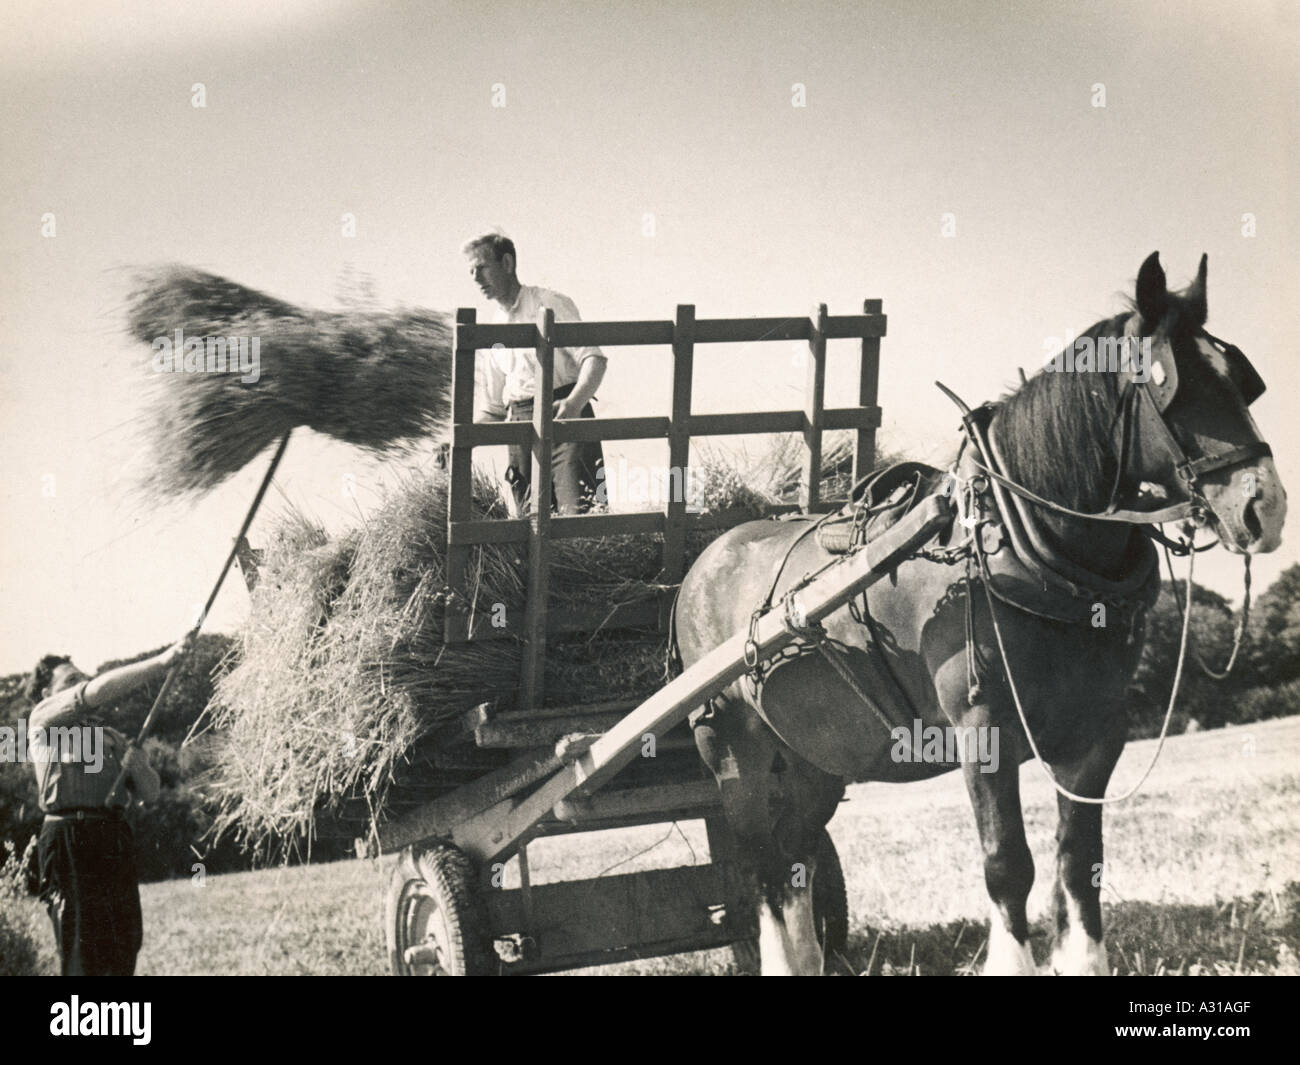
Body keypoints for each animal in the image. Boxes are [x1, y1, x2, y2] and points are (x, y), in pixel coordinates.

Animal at [673, 252, 1286, 975]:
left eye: (1241, 380)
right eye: (1168, 384)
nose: (1266, 506)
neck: (1024, 543)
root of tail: (702, 565)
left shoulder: (1098, 730)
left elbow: (1080, 861)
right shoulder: (982, 723)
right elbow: (1007, 864)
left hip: (815, 757)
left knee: (797, 857)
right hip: (734, 747)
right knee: (764, 865)